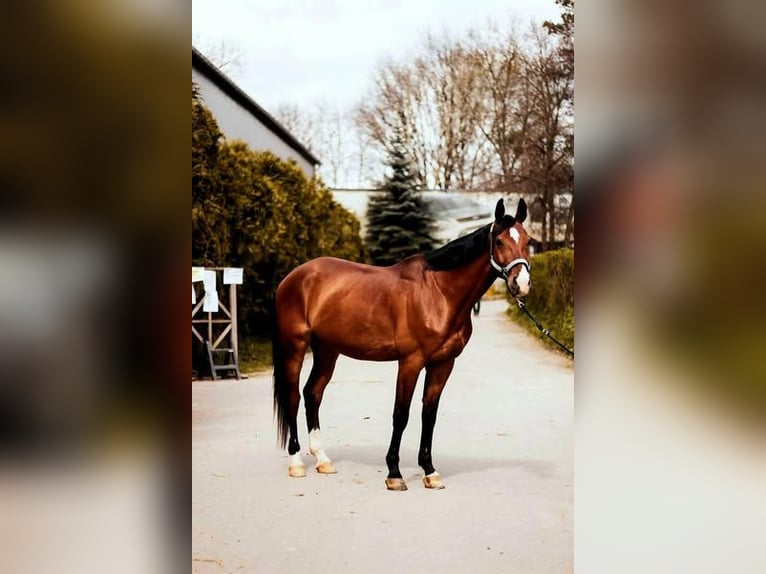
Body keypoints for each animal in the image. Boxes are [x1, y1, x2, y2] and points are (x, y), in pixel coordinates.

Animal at [272, 197, 530, 490]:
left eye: (528, 240)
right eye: (499, 241)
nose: (521, 283)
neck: (439, 292)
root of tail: (293, 277)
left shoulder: (443, 363)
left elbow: (429, 414)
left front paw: (429, 471)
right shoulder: (410, 362)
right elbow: (401, 414)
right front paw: (394, 473)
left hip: (327, 350)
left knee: (312, 393)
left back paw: (322, 460)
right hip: (294, 347)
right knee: (293, 396)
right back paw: (296, 463)